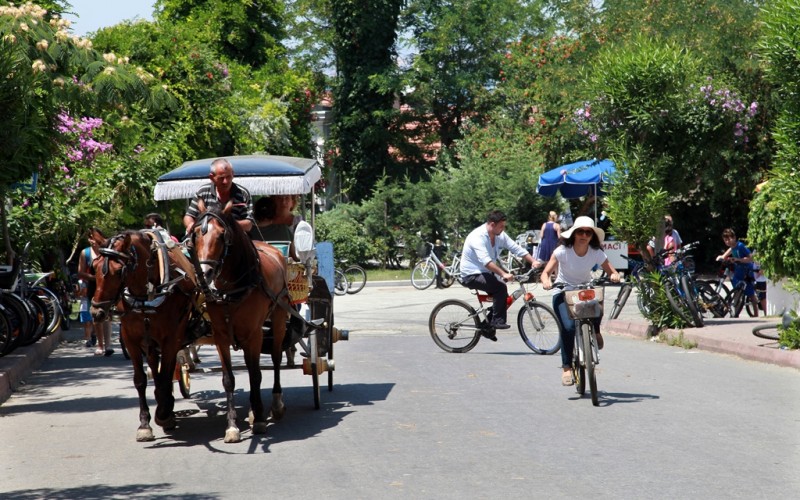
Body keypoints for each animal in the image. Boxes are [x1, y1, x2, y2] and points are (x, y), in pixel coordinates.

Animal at [87, 228, 198, 442]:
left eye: (118, 271)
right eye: (94, 266)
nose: (97, 312)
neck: (146, 294)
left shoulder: (171, 339)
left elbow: (165, 377)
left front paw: (163, 414)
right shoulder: (131, 339)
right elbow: (140, 379)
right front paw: (145, 424)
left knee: (166, 371)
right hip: (149, 342)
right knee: (155, 367)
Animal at [188, 198, 290, 442]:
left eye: (221, 235)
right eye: (195, 234)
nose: (204, 274)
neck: (230, 291)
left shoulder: (255, 334)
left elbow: (255, 375)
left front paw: (261, 420)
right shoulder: (221, 336)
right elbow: (229, 379)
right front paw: (233, 426)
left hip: (279, 318)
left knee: (275, 359)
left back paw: (275, 404)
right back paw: (253, 411)